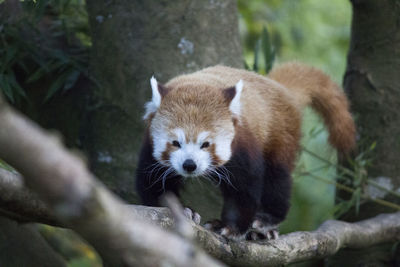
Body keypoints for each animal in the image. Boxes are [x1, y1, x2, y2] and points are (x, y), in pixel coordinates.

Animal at [135, 62, 356, 241]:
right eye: (175, 142)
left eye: (206, 144)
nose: (190, 164)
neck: (197, 82)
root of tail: (280, 88)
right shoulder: (149, 147)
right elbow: (153, 185)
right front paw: (182, 210)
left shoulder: (242, 146)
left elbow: (244, 189)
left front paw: (230, 228)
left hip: (281, 135)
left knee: (278, 180)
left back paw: (266, 221)